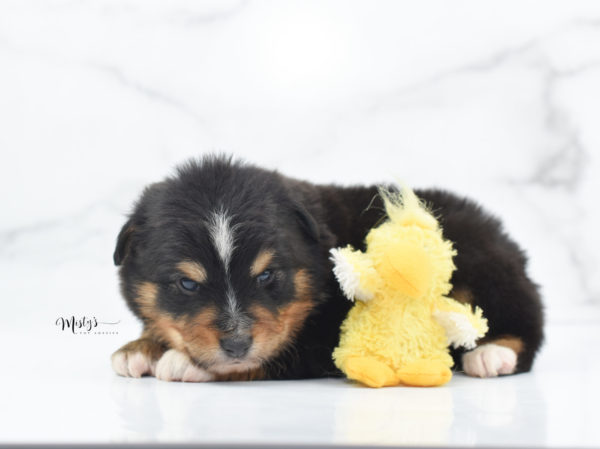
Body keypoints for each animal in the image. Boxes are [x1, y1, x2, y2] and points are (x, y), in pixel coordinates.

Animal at [111, 155, 544, 382]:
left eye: (267, 276)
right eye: (187, 284)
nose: (236, 344)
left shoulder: (323, 335)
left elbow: (274, 355)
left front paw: (183, 362)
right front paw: (138, 349)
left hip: (480, 264)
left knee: (525, 321)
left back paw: (492, 356)